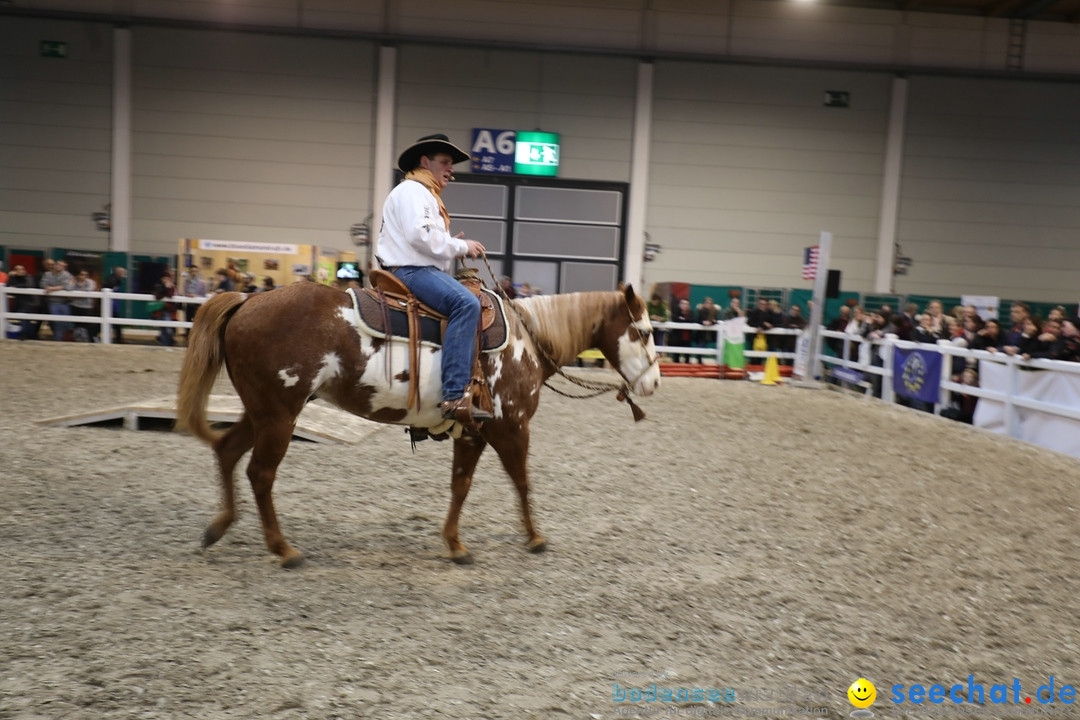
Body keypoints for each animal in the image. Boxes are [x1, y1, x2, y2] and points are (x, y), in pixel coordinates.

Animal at [174, 280, 656, 569]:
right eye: (646, 332)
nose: (652, 382)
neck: (526, 339)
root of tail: (247, 299)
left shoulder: (472, 432)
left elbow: (460, 485)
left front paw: (455, 544)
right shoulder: (511, 427)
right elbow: (522, 481)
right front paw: (535, 537)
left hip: (262, 412)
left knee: (226, 450)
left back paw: (219, 527)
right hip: (278, 414)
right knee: (260, 473)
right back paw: (283, 548)